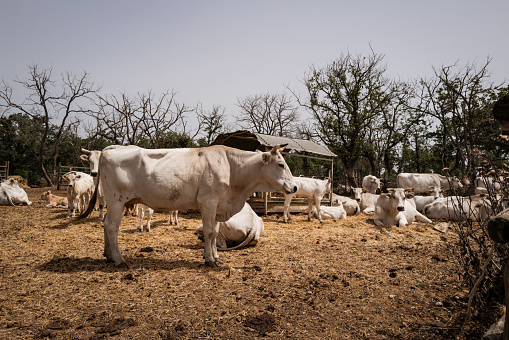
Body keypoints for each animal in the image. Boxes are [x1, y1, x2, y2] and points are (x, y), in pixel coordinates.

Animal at [77, 143, 296, 268]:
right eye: (280, 164)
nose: (294, 187)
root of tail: (110, 149)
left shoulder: (218, 206)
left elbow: (216, 232)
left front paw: (215, 256)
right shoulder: (208, 202)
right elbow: (209, 232)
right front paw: (209, 260)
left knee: (106, 224)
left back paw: (108, 256)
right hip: (116, 200)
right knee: (111, 226)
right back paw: (119, 260)